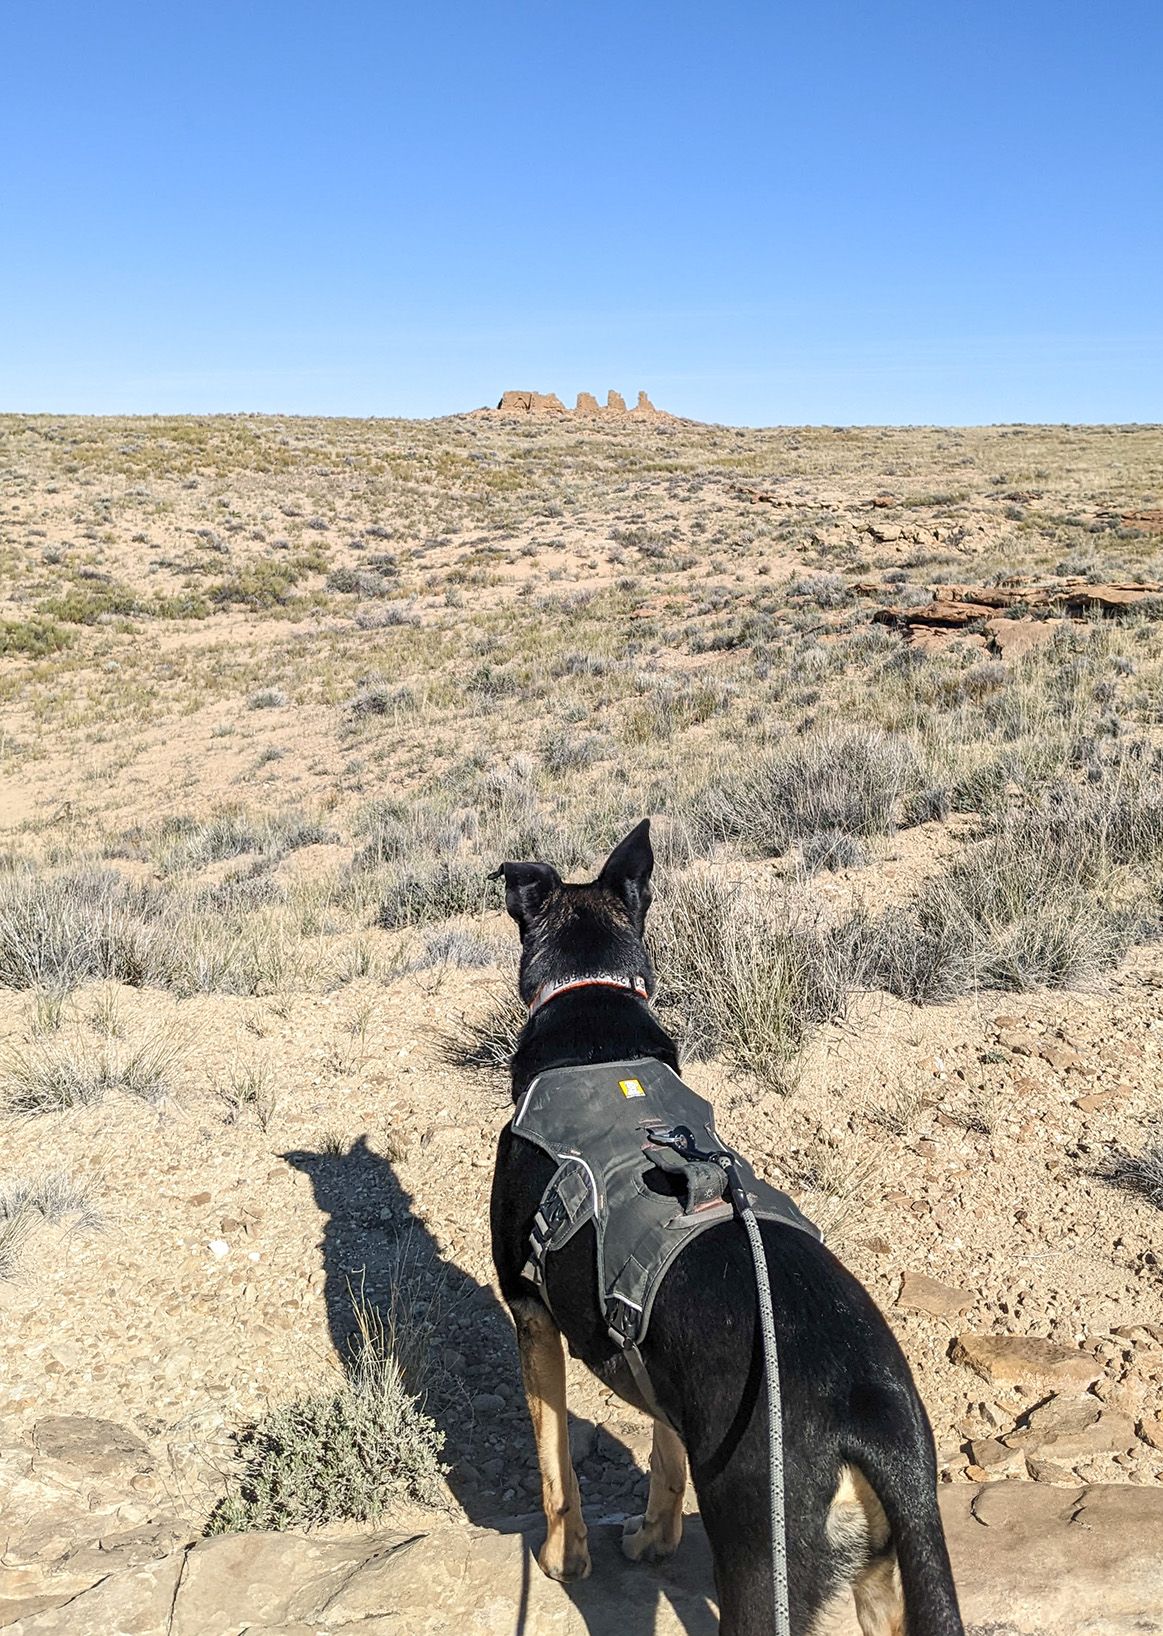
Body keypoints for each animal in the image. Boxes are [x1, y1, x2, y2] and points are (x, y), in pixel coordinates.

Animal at [490, 824, 961, 1636]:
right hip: (884, 1581)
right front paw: (653, 1536)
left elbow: (554, 1460)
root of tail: (873, 1426)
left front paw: (562, 1557)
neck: (594, 1018)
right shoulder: (661, 1370)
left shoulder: (530, 1314)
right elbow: (666, 1454)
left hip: (760, 1571)